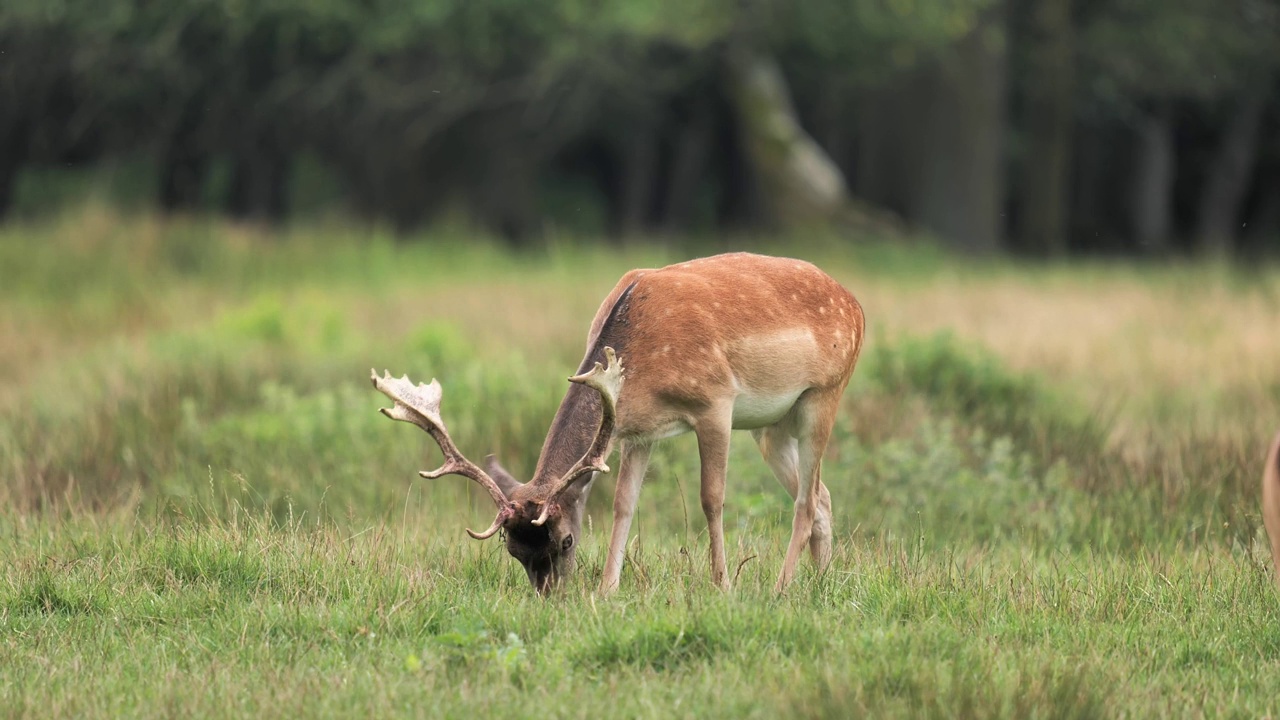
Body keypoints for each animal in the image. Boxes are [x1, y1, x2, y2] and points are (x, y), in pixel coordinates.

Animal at [373, 249, 870, 591]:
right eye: (512, 550)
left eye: (565, 541)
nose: (550, 596)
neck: (640, 363)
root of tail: (856, 305)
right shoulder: (639, 431)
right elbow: (623, 504)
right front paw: (608, 590)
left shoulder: (716, 401)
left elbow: (712, 499)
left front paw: (722, 585)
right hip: (771, 426)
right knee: (823, 496)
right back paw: (819, 582)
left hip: (824, 394)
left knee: (806, 499)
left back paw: (781, 588)